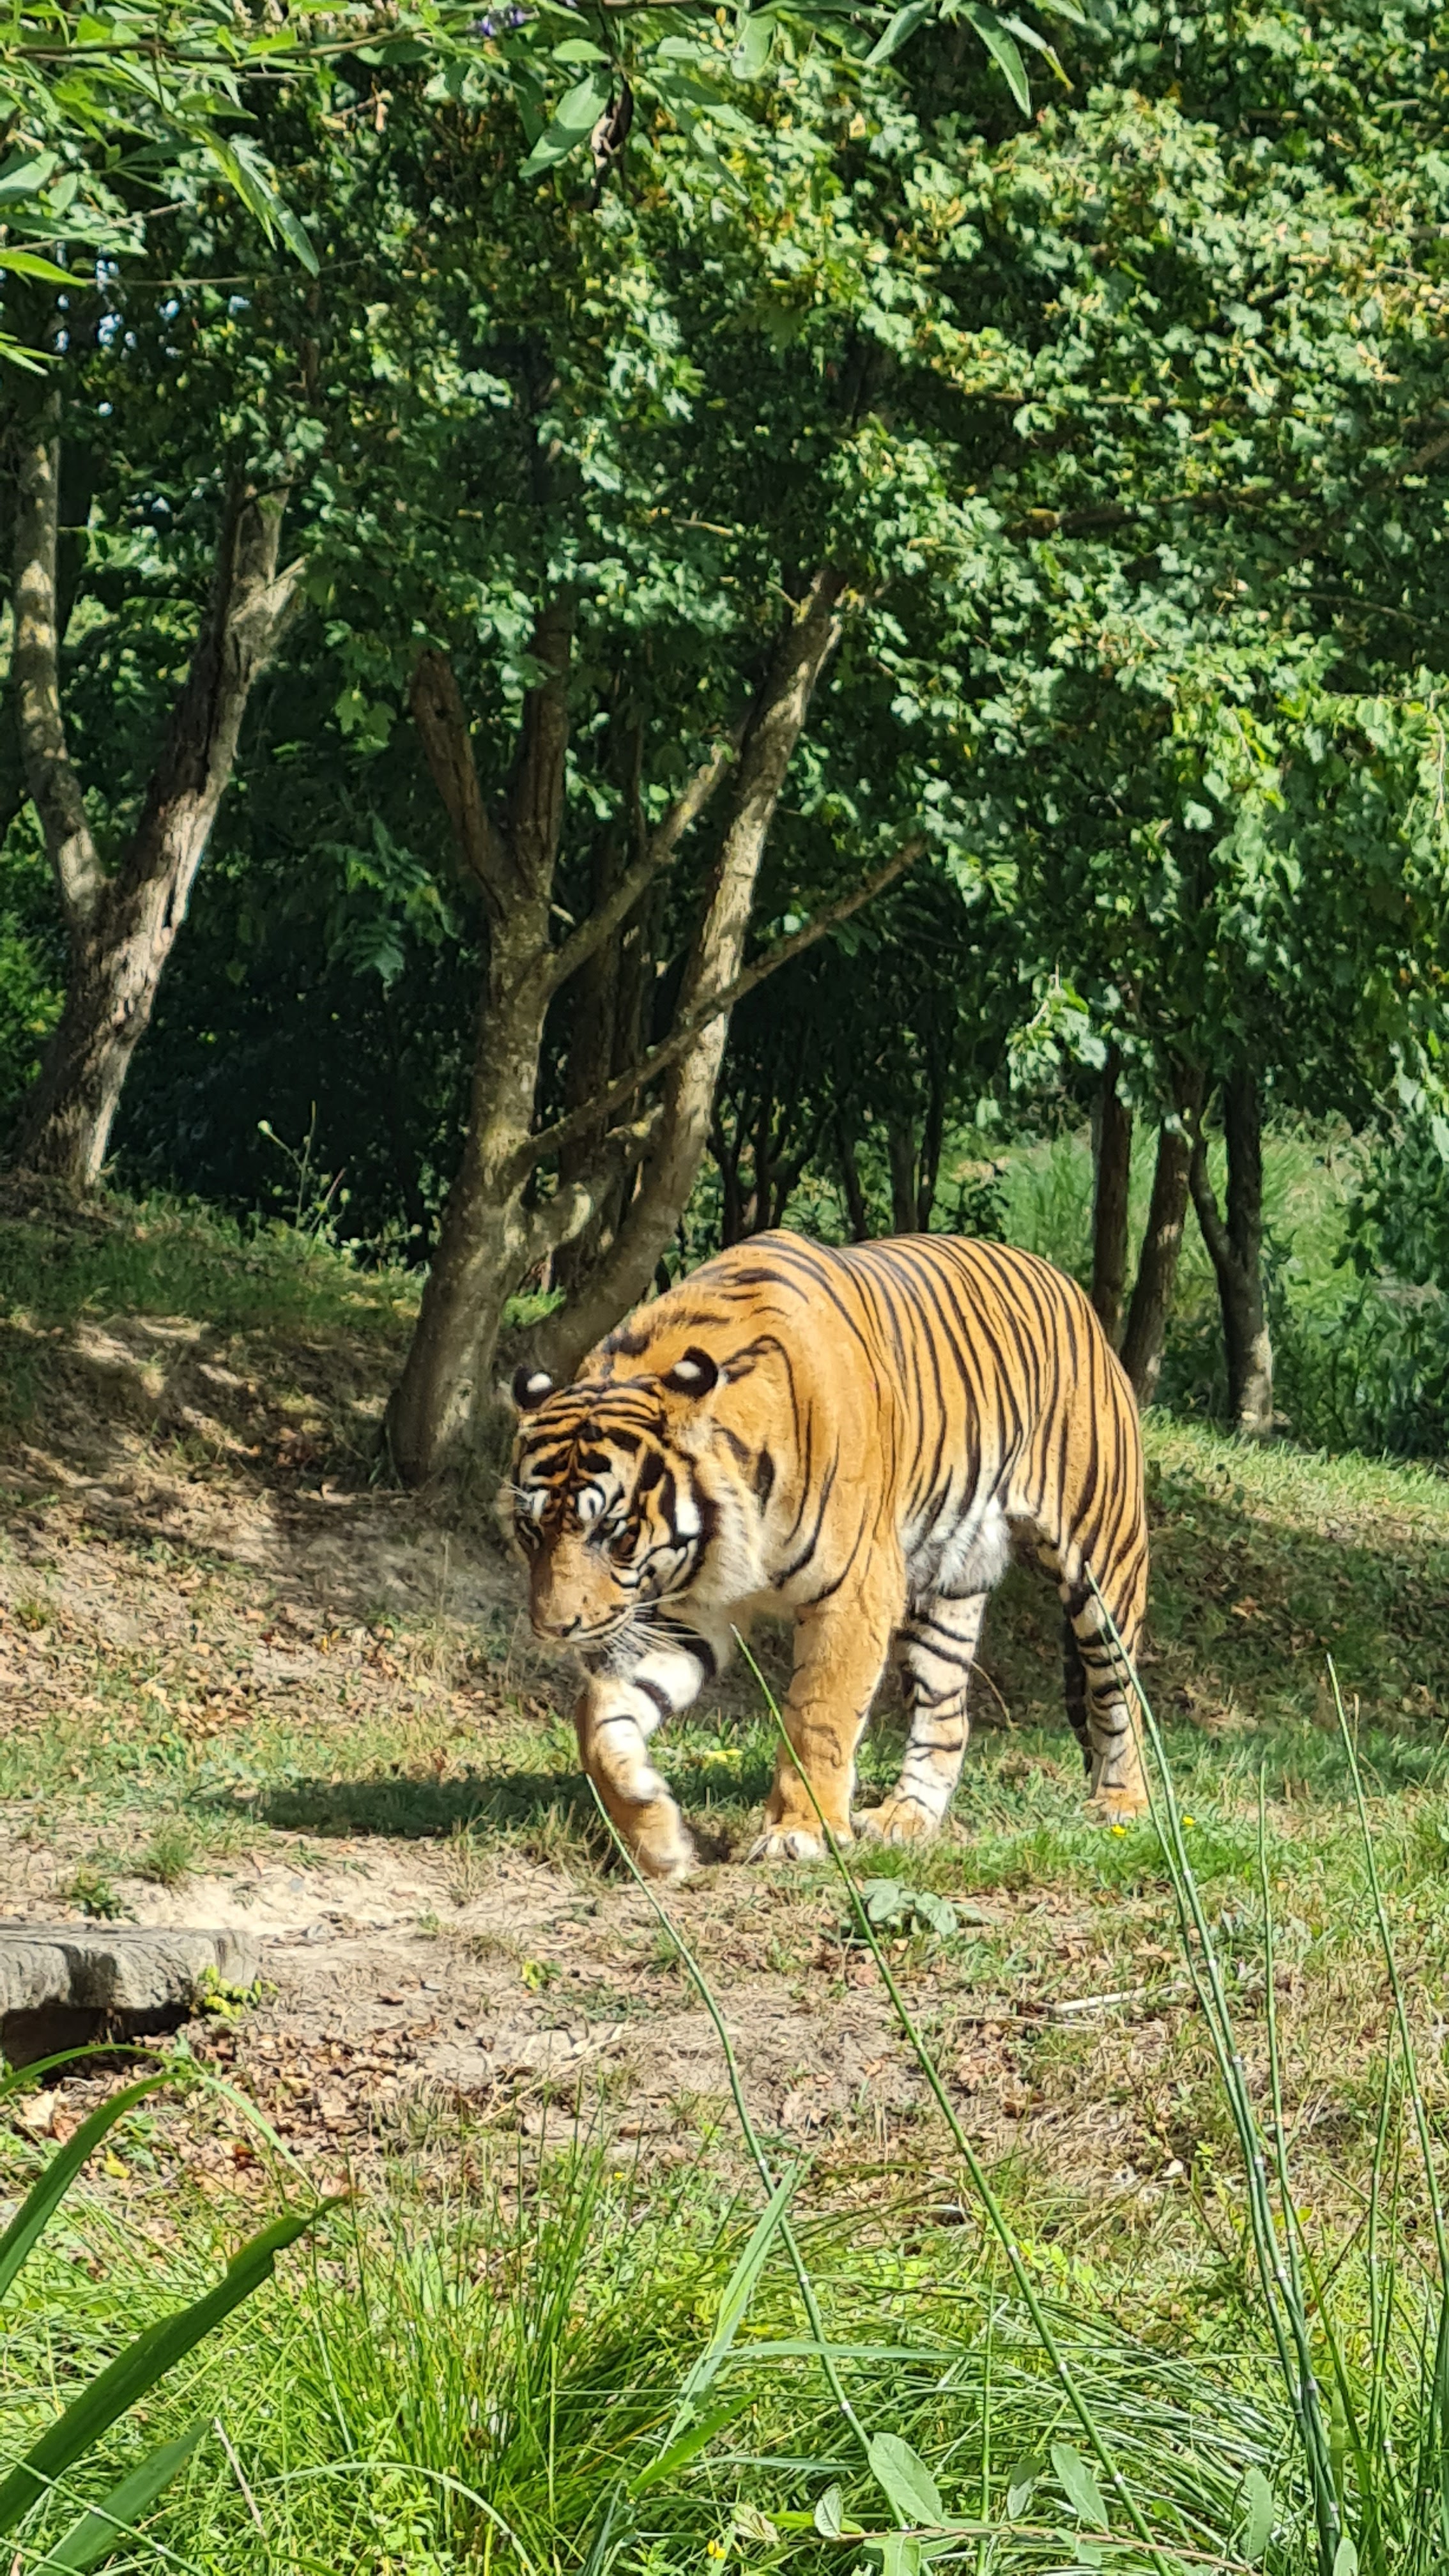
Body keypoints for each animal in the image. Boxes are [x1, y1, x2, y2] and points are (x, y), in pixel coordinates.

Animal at [503, 1229, 1149, 1881]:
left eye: (614, 1532)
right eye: (532, 1531)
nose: (553, 1628)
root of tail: (1068, 1286)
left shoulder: (853, 1594)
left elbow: (819, 1717)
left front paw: (800, 1833)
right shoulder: (684, 1614)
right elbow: (597, 1721)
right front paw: (652, 1832)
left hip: (1103, 1565)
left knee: (1120, 1694)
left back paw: (1123, 1804)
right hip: (947, 1586)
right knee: (947, 1713)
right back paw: (904, 1818)